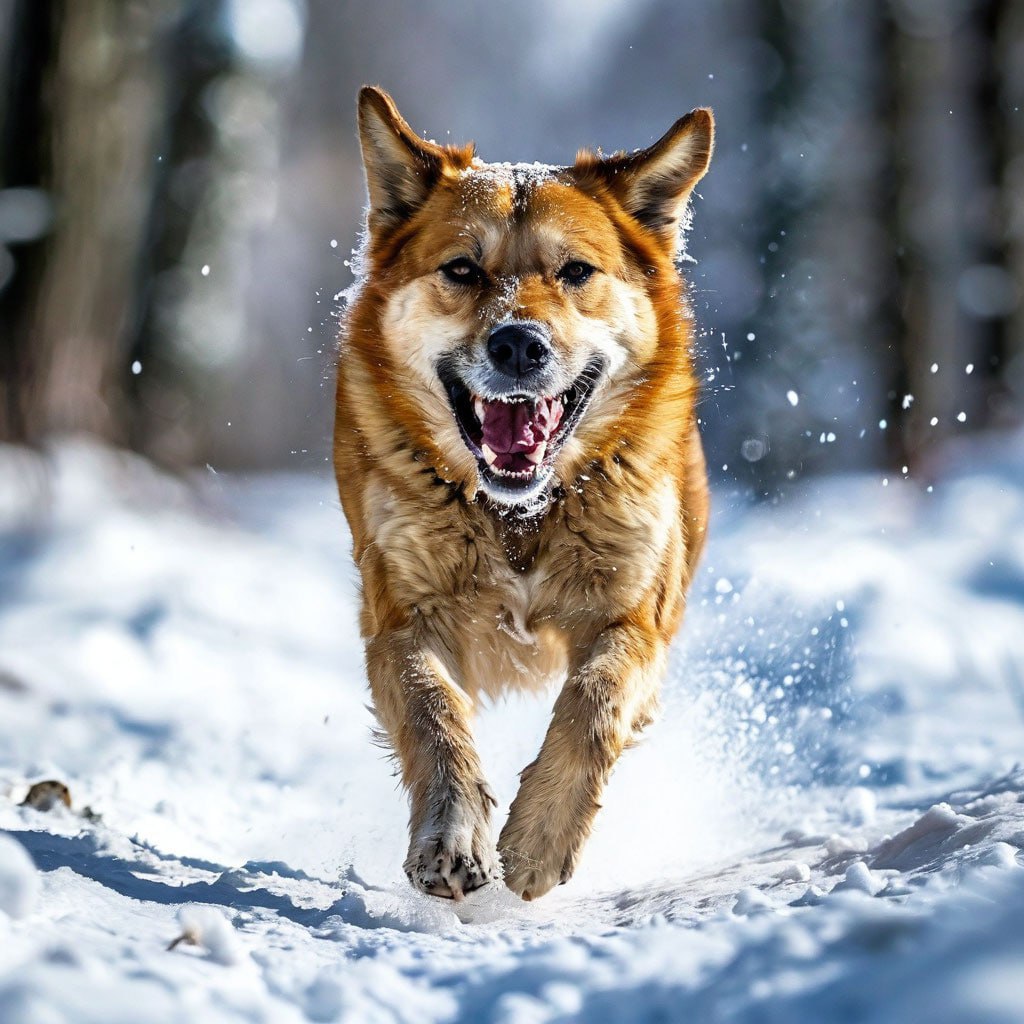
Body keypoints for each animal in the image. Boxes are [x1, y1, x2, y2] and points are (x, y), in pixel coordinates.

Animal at [335, 90, 712, 905]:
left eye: (575, 271)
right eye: (462, 269)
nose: (517, 345)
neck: (520, 517)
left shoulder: (634, 615)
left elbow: (594, 701)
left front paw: (540, 838)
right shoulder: (403, 616)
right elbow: (435, 713)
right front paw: (452, 837)